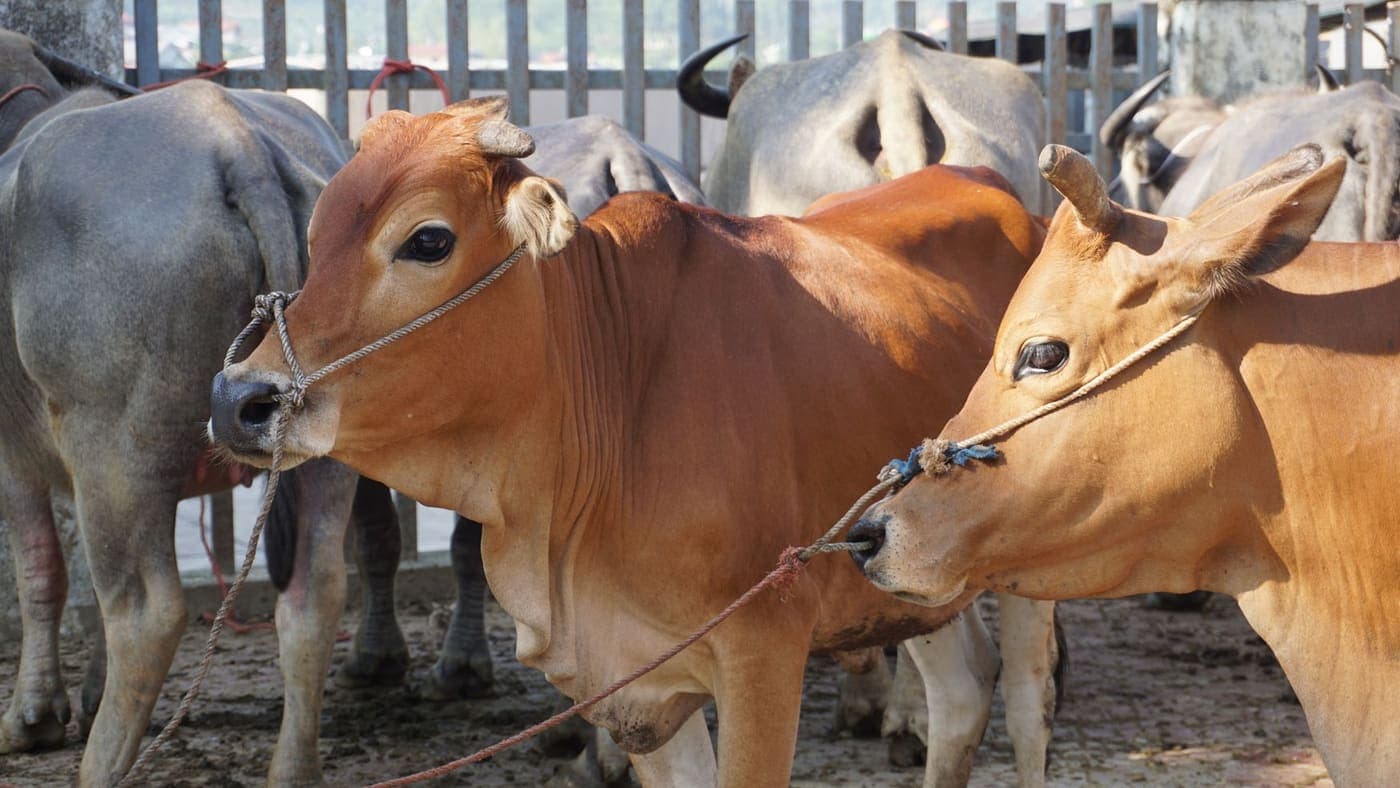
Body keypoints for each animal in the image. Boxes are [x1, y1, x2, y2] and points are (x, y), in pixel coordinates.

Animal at [0, 29, 369, 786]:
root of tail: (238, 145)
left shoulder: (12, 450)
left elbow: (37, 567)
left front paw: (33, 716)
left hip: (114, 454)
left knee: (146, 613)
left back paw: (101, 765)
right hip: (326, 449)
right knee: (315, 594)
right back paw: (293, 768)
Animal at [209, 97, 1060, 787]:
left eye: (427, 240)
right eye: (317, 236)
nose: (238, 400)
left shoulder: (762, 653)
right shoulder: (638, 685)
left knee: (1025, 708)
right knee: (961, 692)